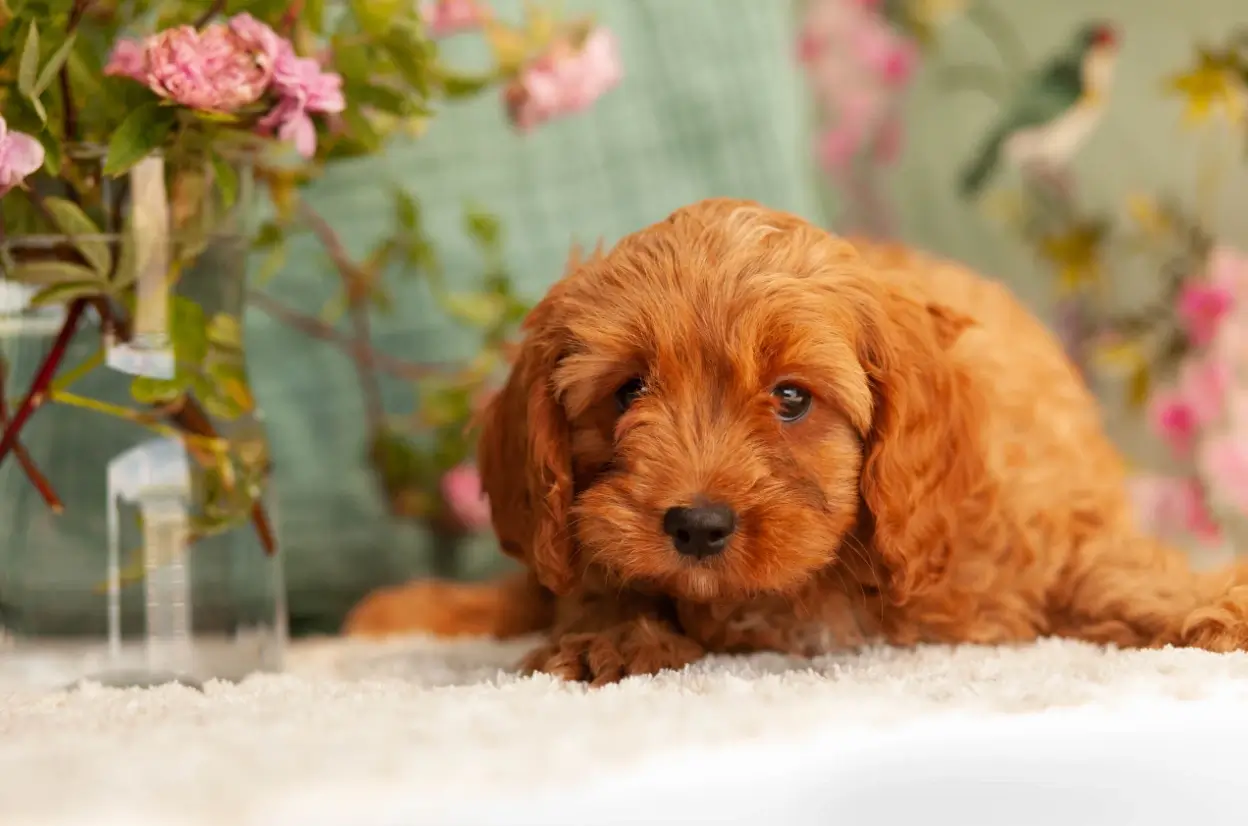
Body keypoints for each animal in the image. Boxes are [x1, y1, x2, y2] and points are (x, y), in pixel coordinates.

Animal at [341, 197, 1248, 683]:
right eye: (628, 391)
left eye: (791, 398)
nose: (697, 526)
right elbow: (601, 582)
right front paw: (614, 635)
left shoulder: (1040, 526)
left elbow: (1109, 569)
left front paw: (1207, 604)